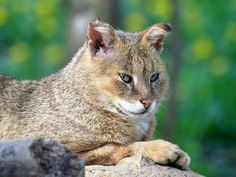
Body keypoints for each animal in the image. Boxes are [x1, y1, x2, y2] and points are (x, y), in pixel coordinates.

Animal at [0, 20, 190, 169]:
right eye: (125, 78)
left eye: (154, 77)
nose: (148, 102)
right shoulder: (54, 151)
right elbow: (122, 146)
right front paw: (160, 148)